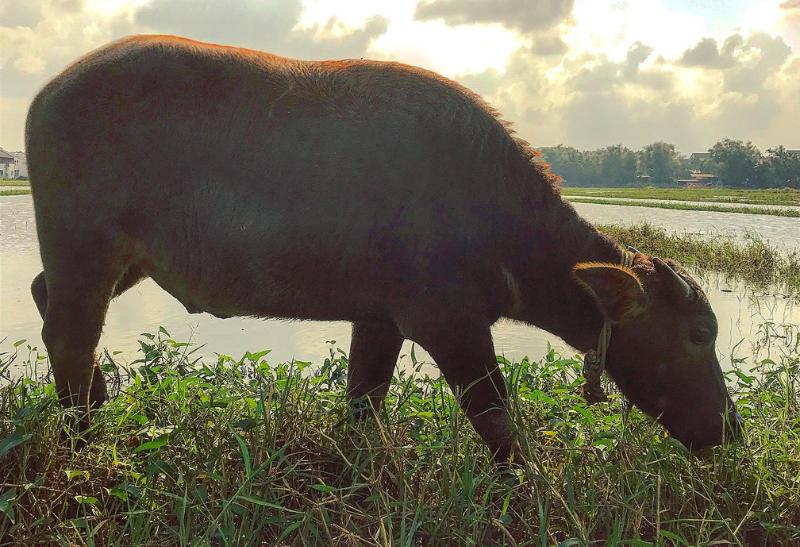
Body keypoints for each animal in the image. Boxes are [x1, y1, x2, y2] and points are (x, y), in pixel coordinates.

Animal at [26, 35, 744, 462]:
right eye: (697, 334)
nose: (731, 428)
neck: (492, 214)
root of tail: (46, 95)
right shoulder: (447, 323)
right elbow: (493, 413)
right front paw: (527, 479)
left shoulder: (378, 318)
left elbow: (363, 397)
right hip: (85, 250)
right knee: (69, 335)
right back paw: (86, 435)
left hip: (127, 261)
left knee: (45, 300)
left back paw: (98, 401)